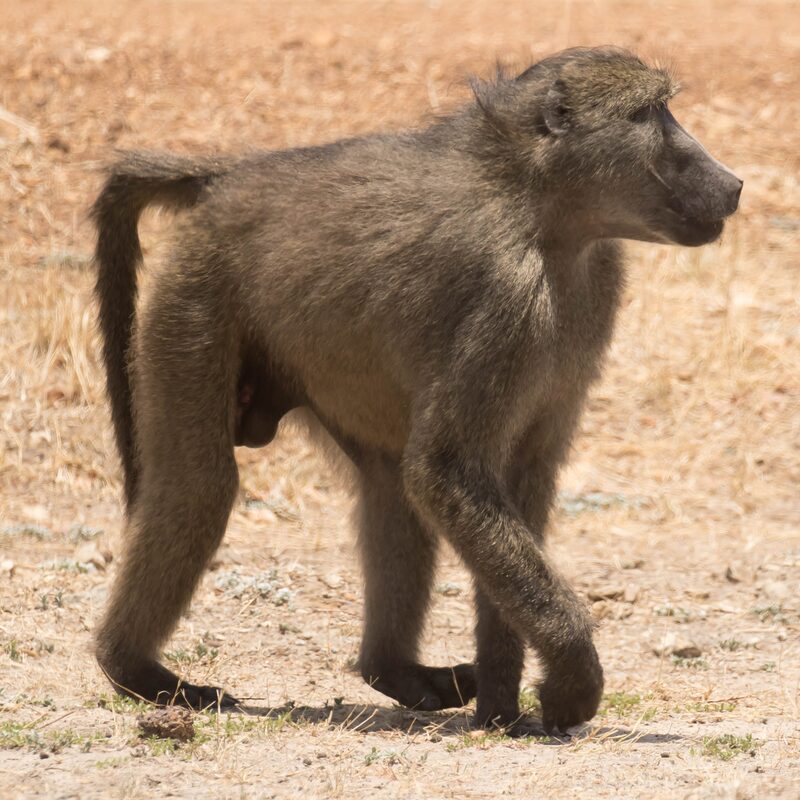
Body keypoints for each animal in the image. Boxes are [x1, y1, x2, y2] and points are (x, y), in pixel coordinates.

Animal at [91, 47, 741, 735]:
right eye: (652, 113)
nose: (732, 185)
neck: (544, 211)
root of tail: (230, 182)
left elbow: (510, 484)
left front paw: (503, 705)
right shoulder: (505, 298)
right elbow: (445, 471)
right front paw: (570, 684)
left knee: (388, 489)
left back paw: (395, 671)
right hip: (195, 297)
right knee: (202, 485)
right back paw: (135, 670)